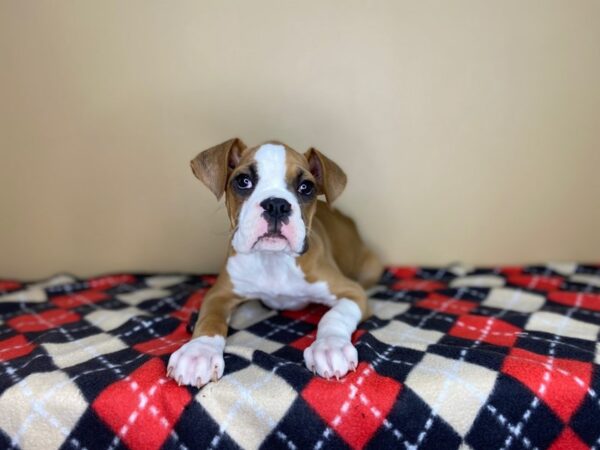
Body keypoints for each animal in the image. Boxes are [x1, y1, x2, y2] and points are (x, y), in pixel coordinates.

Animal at [166, 140, 382, 386]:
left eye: (306, 187)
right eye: (243, 181)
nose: (276, 205)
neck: (273, 260)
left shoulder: (352, 292)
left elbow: (334, 316)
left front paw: (330, 347)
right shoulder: (219, 294)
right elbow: (210, 319)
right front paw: (198, 351)